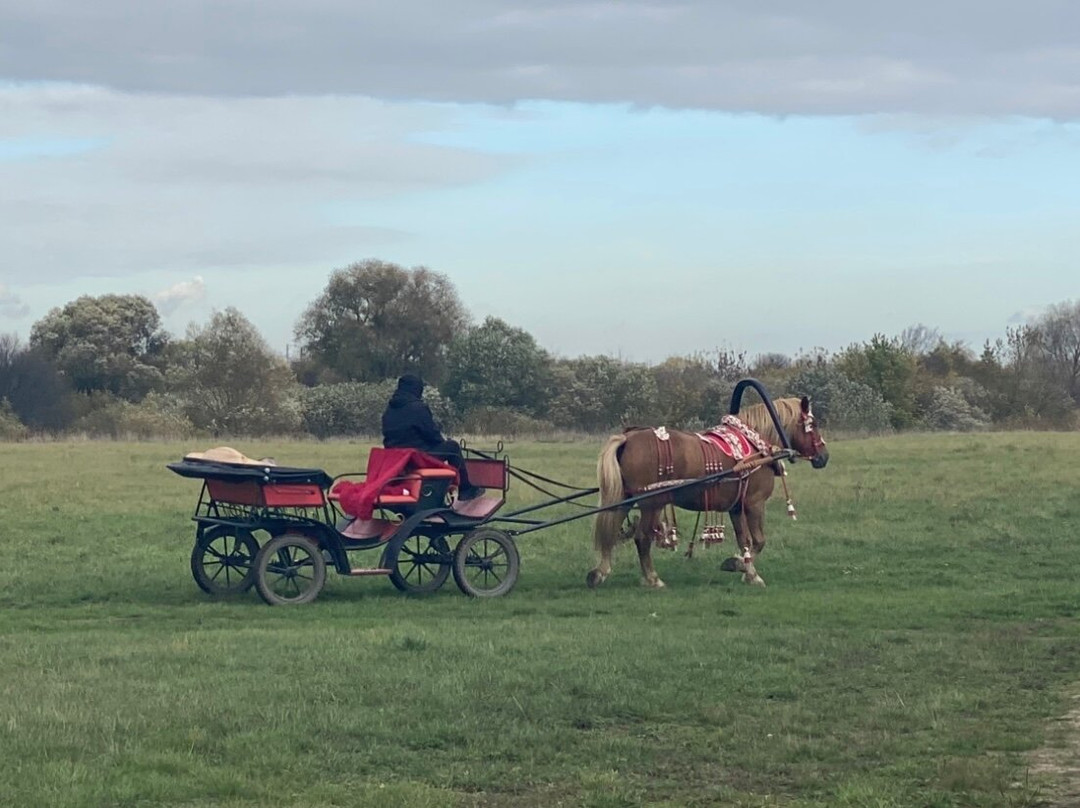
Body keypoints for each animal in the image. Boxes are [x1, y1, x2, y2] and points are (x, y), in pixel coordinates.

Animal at [591, 395, 825, 591]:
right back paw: (652, 578)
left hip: (626, 499)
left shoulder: (736, 507)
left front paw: (748, 572)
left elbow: (744, 541)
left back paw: (600, 572)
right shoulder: (754, 503)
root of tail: (628, 437)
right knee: (642, 537)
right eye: (812, 425)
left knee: (611, 530)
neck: (756, 447)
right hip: (652, 503)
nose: (824, 456)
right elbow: (758, 541)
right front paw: (740, 565)